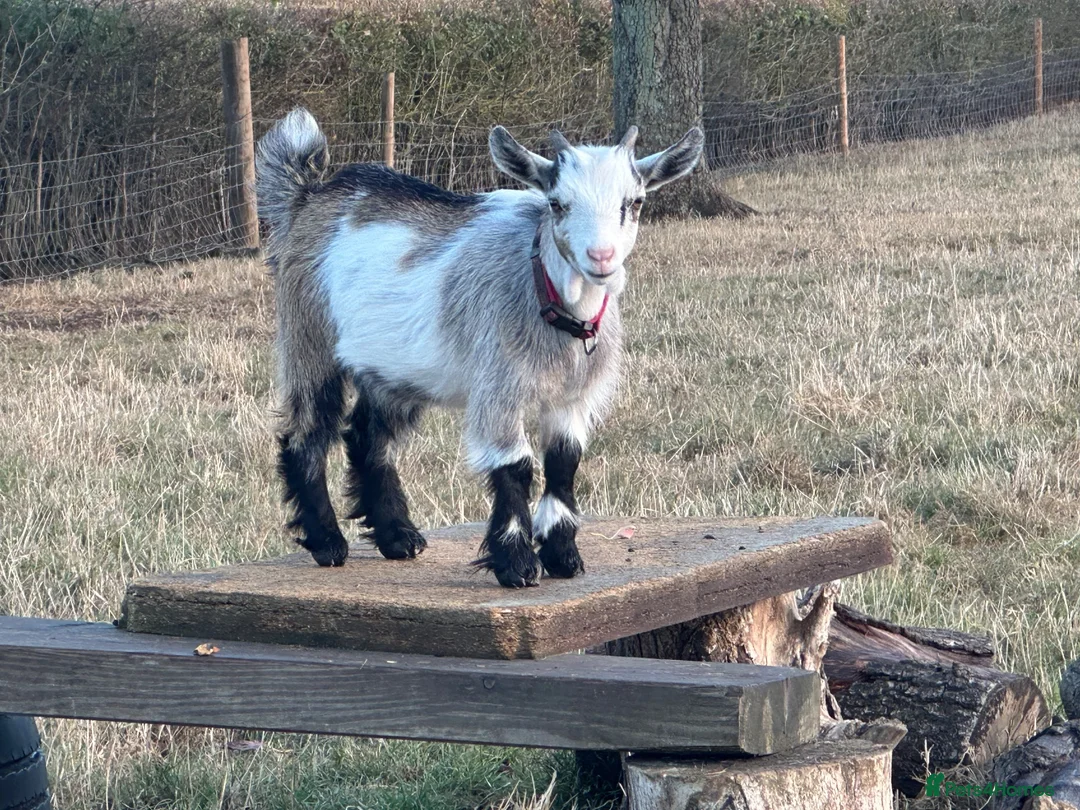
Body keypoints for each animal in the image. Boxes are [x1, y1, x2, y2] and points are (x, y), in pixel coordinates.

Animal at [256, 108, 703, 587]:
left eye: (633, 202)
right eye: (556, 203)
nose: (600, 257)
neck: (547, 296)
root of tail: (307, 197)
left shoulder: (573, 396)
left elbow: (564, 462)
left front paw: (563, 556)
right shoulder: (498, 386)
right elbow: (515, 466)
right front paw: (517, 564)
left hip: (393, 368)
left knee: (367, 436)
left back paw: (398, 536)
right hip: (309, 338)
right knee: (307, 432)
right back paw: (327, 542)